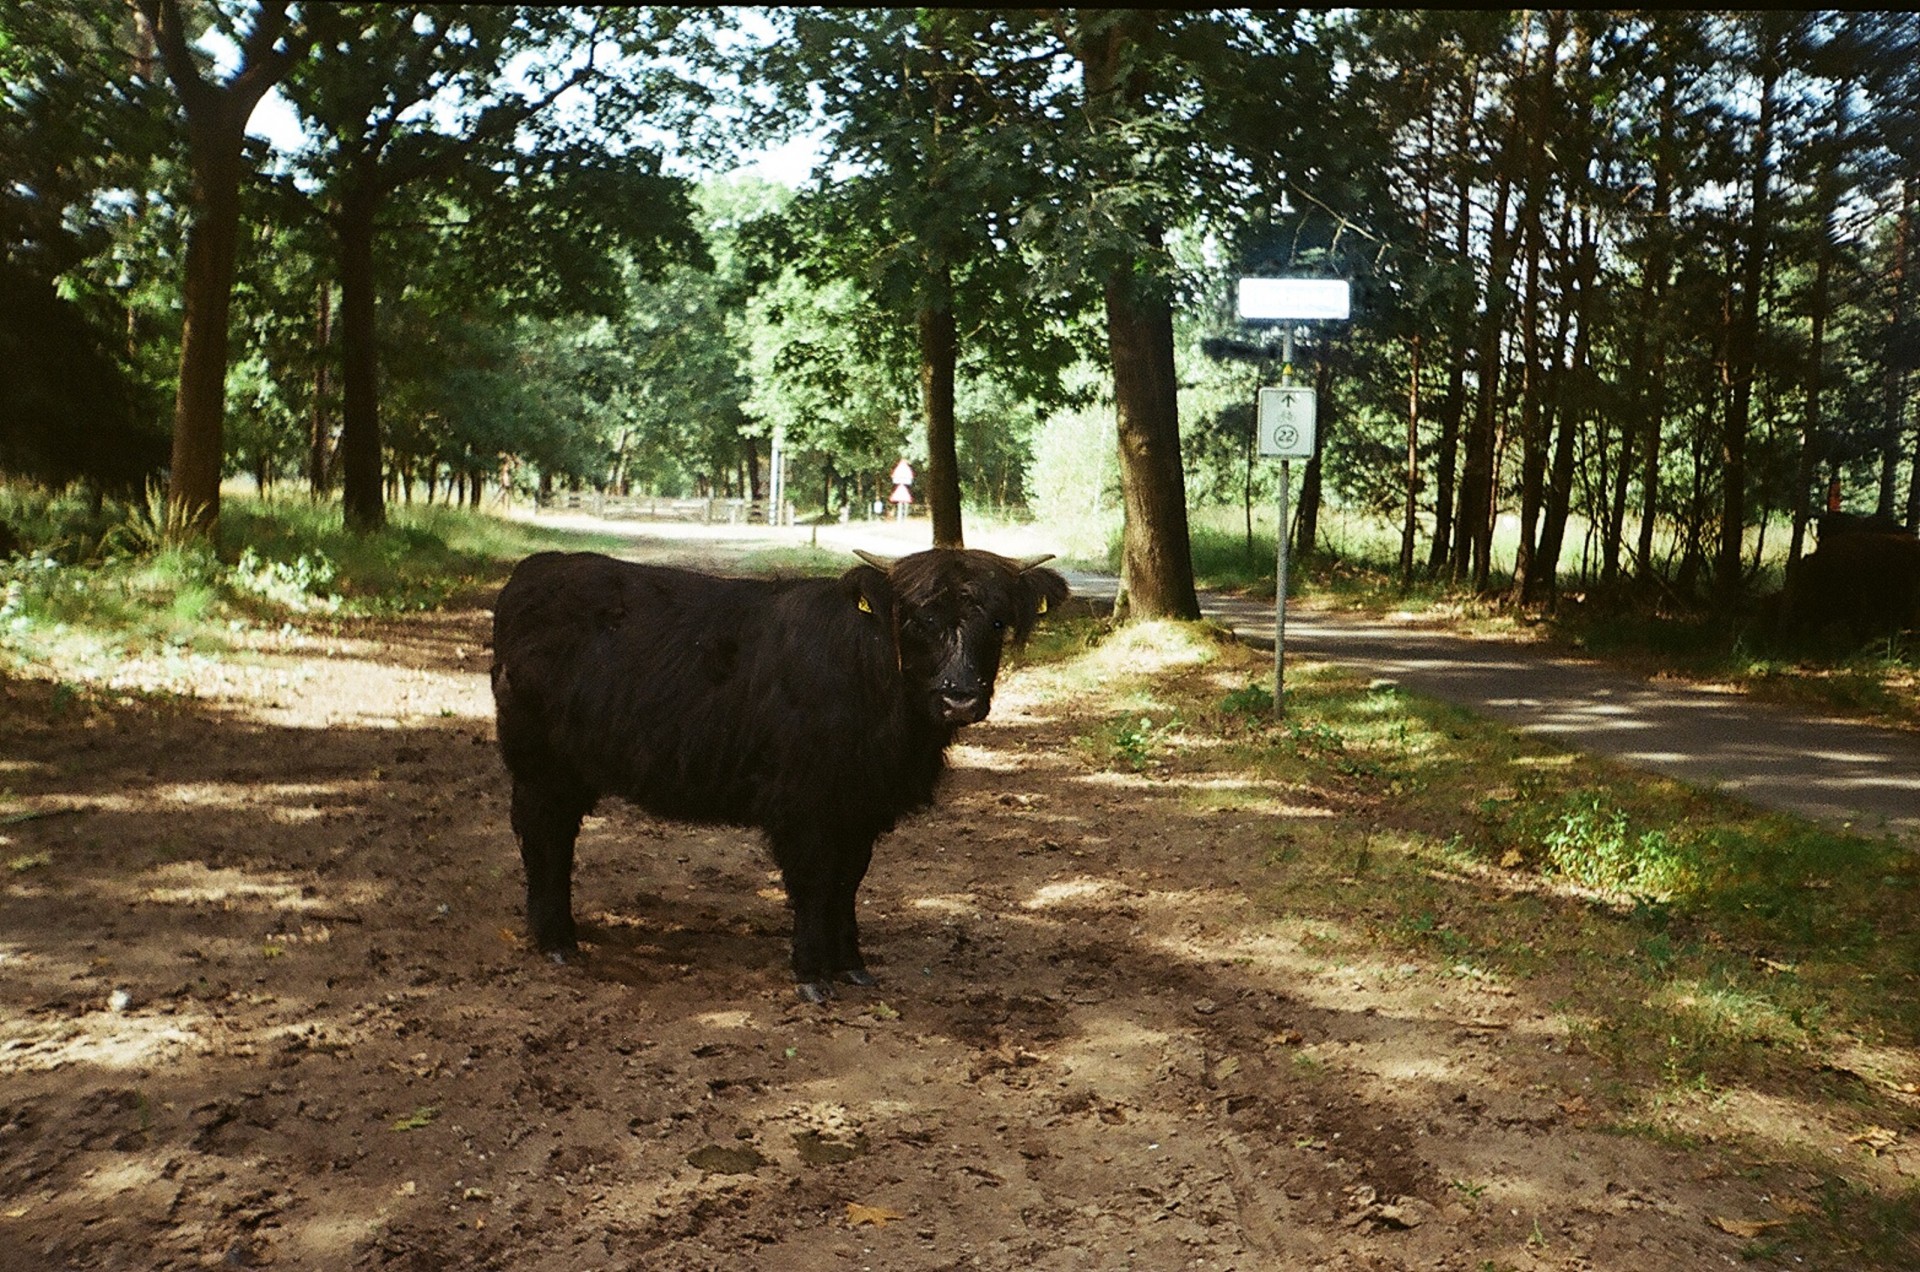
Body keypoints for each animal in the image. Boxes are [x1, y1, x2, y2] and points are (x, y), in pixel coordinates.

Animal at [487, 549, 1075, 1006]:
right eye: (917, 621)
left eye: (996, 623)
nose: (960, 698)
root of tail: (536, 569)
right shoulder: (804, 803)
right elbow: (814, 884)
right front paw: (812, 975)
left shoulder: (859, 809)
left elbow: (847, 884)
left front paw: (851, 964)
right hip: (540, 766)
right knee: (542, 838)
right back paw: (555, 941)